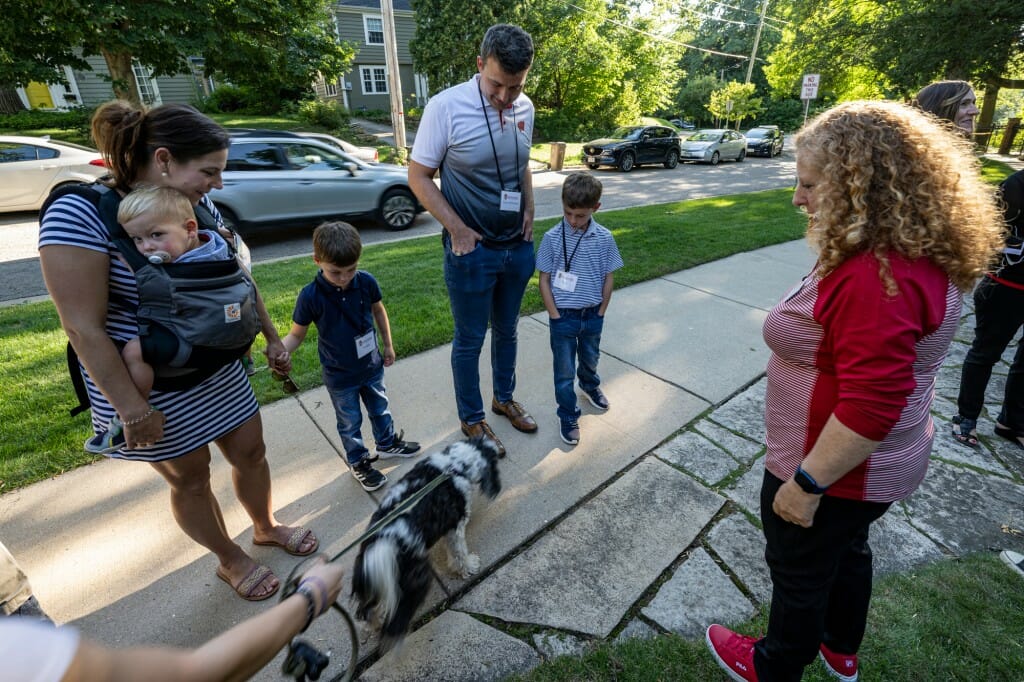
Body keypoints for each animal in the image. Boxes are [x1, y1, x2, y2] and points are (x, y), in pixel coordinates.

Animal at [350, 436, 501, 643]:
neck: (455, 464)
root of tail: (380, 543)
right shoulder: (455, 528)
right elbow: (459, 554)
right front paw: (469, 566)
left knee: (365, 613)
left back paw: (374, 626)